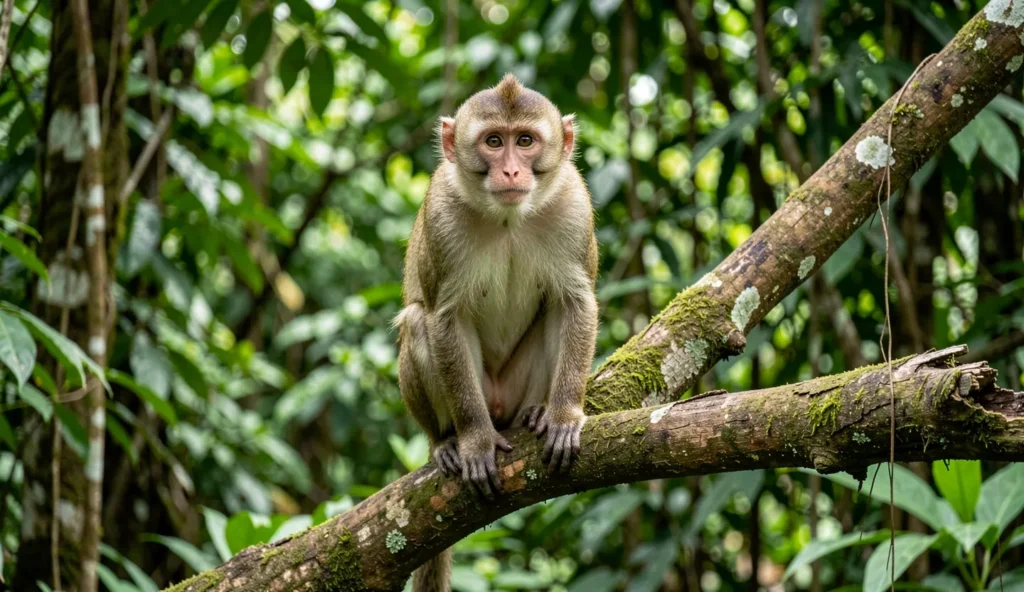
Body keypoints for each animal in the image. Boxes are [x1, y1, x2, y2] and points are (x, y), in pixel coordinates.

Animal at [394, 74, 599, 591]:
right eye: (493, 142)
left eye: (524, 141)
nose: (509, 171)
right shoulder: (442, 218)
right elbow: (444, 318)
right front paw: (474, 442)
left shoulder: (574, 206)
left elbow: (575, 303)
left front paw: (564, 415)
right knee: (418, 322)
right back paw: (445, 441)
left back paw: (536, 412)